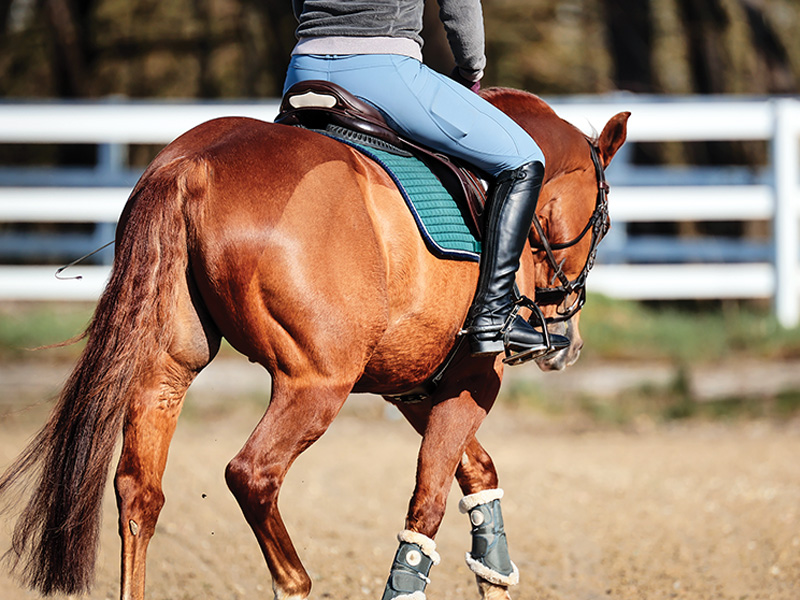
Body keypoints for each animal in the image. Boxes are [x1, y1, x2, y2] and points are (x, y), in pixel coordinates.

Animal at [0, 87, 628, 600]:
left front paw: (493, 566)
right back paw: (294, 581)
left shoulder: (414, 386)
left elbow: (476, 471)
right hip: (315, 384)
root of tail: (192, 163)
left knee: (138, 492)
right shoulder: (474, 377)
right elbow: (429, 500)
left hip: (165, 370)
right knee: (252, 474)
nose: (566, 343)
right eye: (601, 224)